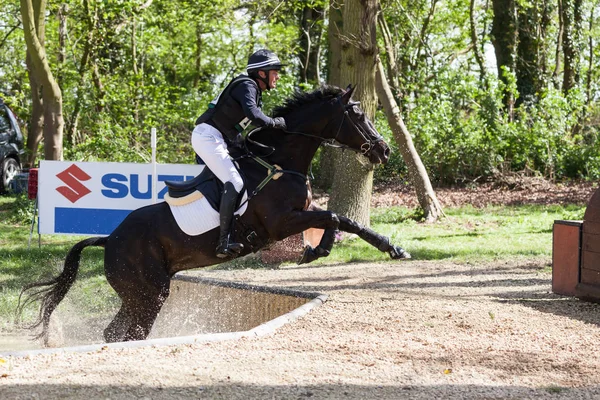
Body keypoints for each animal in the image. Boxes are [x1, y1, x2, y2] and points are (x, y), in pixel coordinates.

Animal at [19, 84, 412, 344]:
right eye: (357, 115)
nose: (384, 150)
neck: (280, 161)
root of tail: (109, 239)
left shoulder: (302, 211)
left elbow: (340, 218)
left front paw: (380, 248)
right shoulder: (281, 223)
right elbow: (336, 218)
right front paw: (327, 250)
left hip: (139, 293)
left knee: (116, 332)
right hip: (148, 292)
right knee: (128, 333)